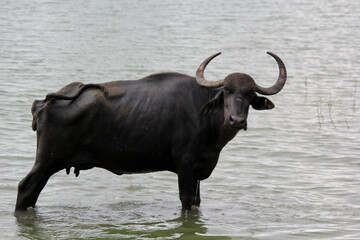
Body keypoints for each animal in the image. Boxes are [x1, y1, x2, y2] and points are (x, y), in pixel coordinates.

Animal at [16, 51, 286, 210]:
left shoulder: (198, 171)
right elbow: (186, 201)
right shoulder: (184, 165)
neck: (205, 118)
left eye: (249, 94)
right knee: (24, 188)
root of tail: (45, 101)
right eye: (227, 91)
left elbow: (197, 201)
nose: (236, 120)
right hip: (47, 161)